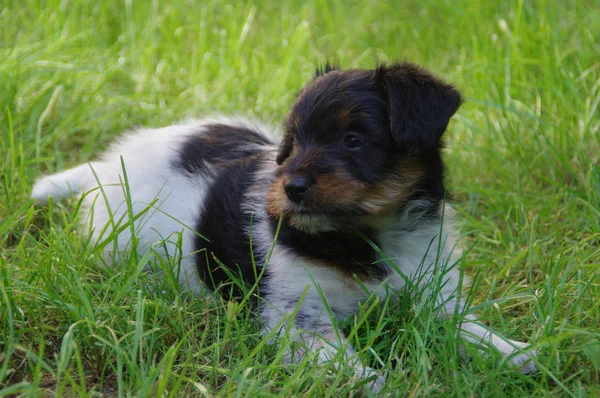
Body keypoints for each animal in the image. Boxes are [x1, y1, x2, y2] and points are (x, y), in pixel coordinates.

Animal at [32, 62, 536, 392]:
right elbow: (350, 365)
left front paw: (515, 353)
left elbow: (469, 330)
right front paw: (379, 383)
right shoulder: (299, 320)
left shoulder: (434, 295)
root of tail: (107, 165)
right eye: (292, 144)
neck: (367, 236)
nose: (291, 187)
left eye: (353, 140)